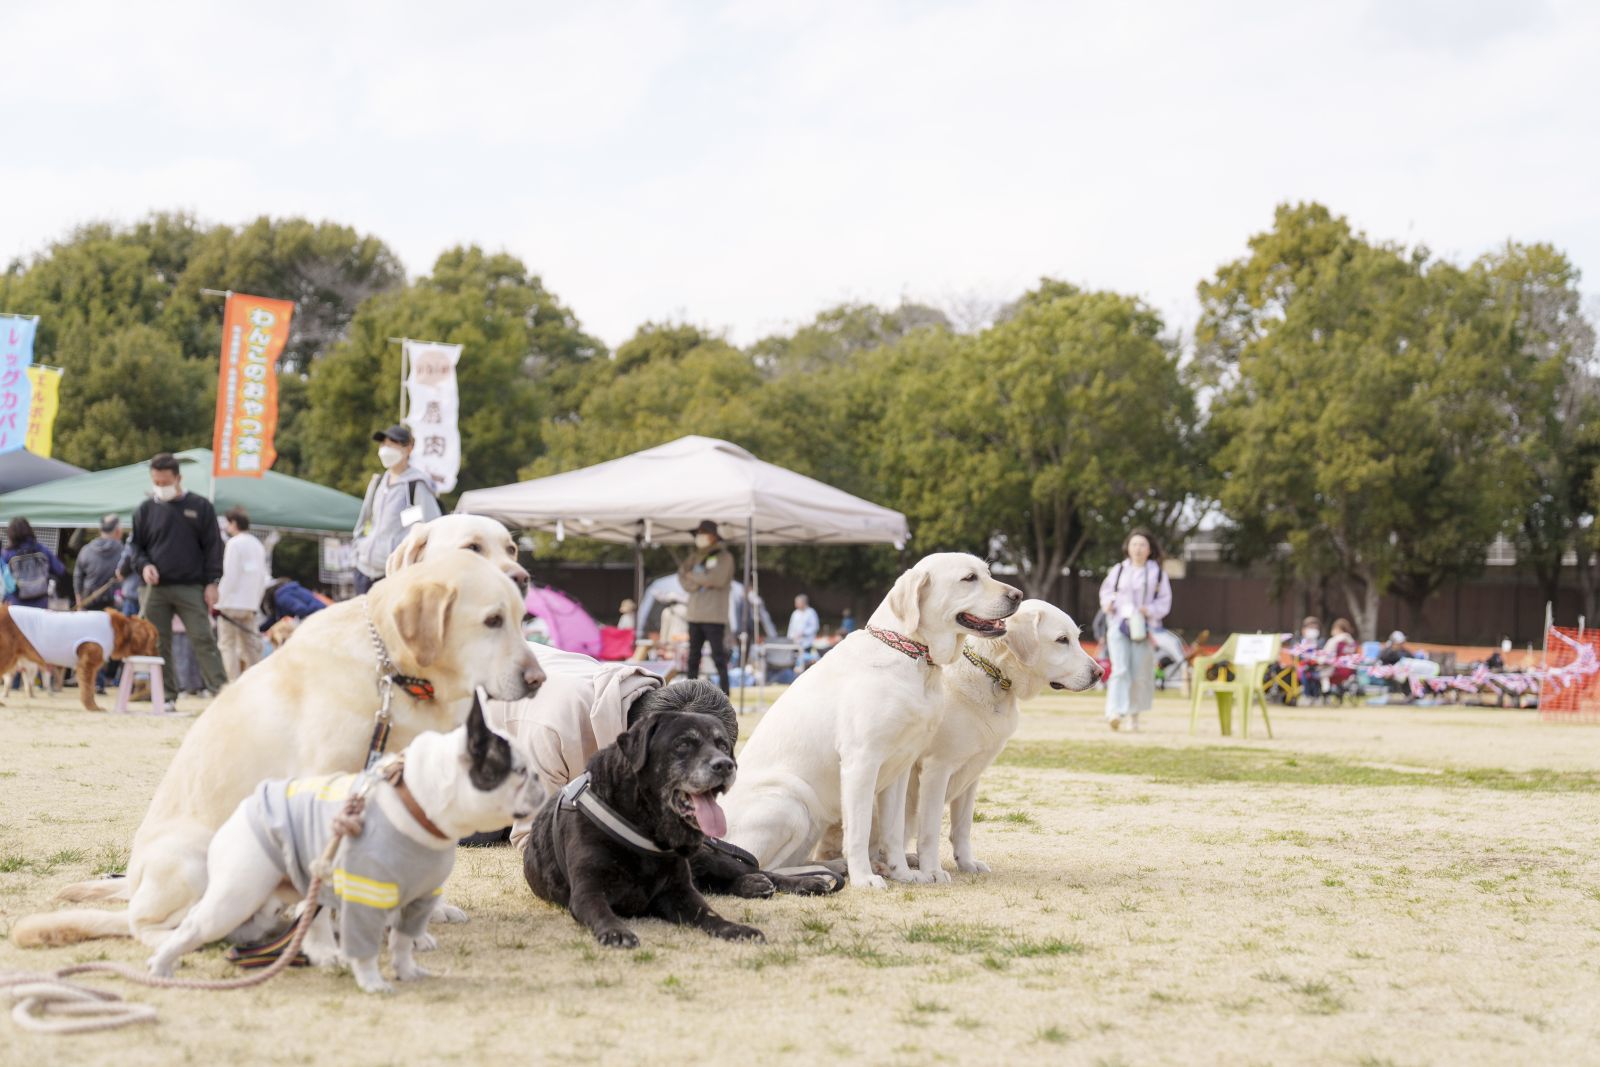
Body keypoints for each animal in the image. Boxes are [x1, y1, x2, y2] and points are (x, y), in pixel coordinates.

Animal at [0, 606, 157, 711]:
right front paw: (93, 707)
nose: (158, 654)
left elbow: (90, 688)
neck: (115, 631)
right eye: (154, 641)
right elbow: (88, 689)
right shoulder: (87, 664)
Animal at [147, 695, 540, 993]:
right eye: (518, 771)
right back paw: (161, 967)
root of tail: (246, 808)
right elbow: (365, 948)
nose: (538, 777)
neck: (416, 802)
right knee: (193, 925)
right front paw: (373, 983)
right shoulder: (367, 896)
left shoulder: (418, 899)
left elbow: (402, 940)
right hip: (238, 894)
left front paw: (408, 969)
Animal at [523, 710, 763, 948]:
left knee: (744, 868)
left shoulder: (680, 890)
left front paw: (735, 928)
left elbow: (709, 913)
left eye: (723, 745)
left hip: (704, 856)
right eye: (683, 744)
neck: (642, 826)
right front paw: (616, 931)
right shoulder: (587, 890)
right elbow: (601, 912)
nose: (725, 765)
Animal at [721, 553, 1021, 889]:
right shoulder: (861, 761)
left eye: (989, 573)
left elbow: (892, 830)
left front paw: (903, 873)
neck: (911, 656)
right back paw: (825, 875)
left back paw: (834, 868)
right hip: (790, 803)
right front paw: (864, 878)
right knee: (757, 864)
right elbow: (860, 829)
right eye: (969, 578)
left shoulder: (901, 767)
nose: (1018, 595)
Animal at [906, 600, 1101, 879]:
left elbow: (962, 827)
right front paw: (932, 871)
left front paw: (967, 862)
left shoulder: (972, 773)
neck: (994, 674)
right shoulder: (936, 769)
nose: (1100, 673)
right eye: (1062, 640)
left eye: (1076, 637)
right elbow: (930, 829)